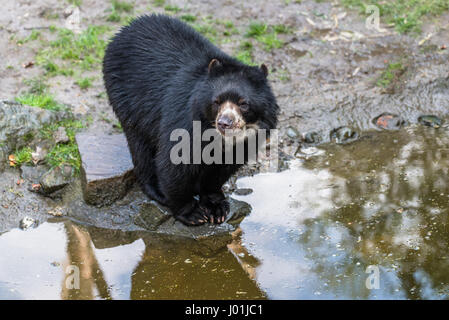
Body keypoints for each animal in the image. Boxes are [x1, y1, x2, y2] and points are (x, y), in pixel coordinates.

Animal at [103, 14, 278, 225]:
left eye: (243, 103)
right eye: (216, 101)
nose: (224, 123)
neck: (217, 136)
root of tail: (125, 29)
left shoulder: (249, 138)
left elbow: (221, 170)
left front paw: (216, 206)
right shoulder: (184, 120)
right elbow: (175, 163)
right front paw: (192, 212)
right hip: (128, 100)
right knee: (141, 146)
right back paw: (156, 190)